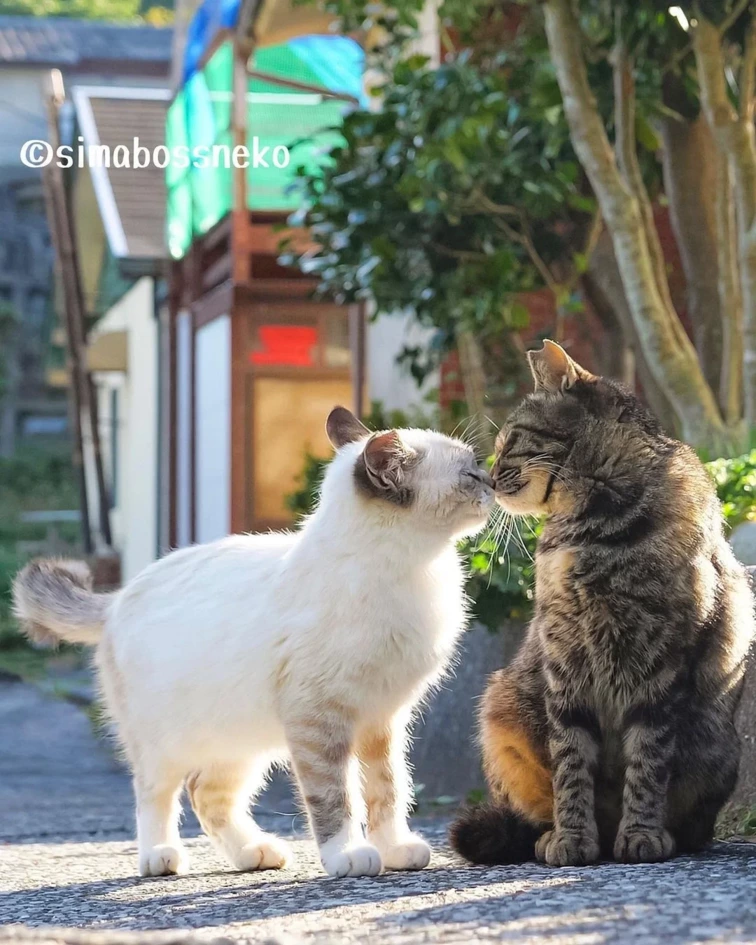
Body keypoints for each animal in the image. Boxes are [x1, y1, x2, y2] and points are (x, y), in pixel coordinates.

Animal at [14, 406, 496, 876]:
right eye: (470, 474)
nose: (492, 481)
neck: (411, 572)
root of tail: (116, 598)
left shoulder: (383, 720)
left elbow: (388, 791)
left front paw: (395, 849)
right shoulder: (320, 721)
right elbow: (335, 797)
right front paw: (348, 856)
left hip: (240, 739)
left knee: (206, 792)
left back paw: (254, 853)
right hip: (164, 744)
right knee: (156, 792)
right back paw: (160, 858)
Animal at [452, 340, 752, 864]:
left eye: (510, 441)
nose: (486, 479)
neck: (592, 527)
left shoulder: (661, 661)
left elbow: (648, 759)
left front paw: (642, 831)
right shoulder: (564, 657)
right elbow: (571, 761)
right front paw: (572, 837)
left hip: (717, 748)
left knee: (693, 823)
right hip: (500, 707)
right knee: (532, 812)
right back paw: (553, 835)